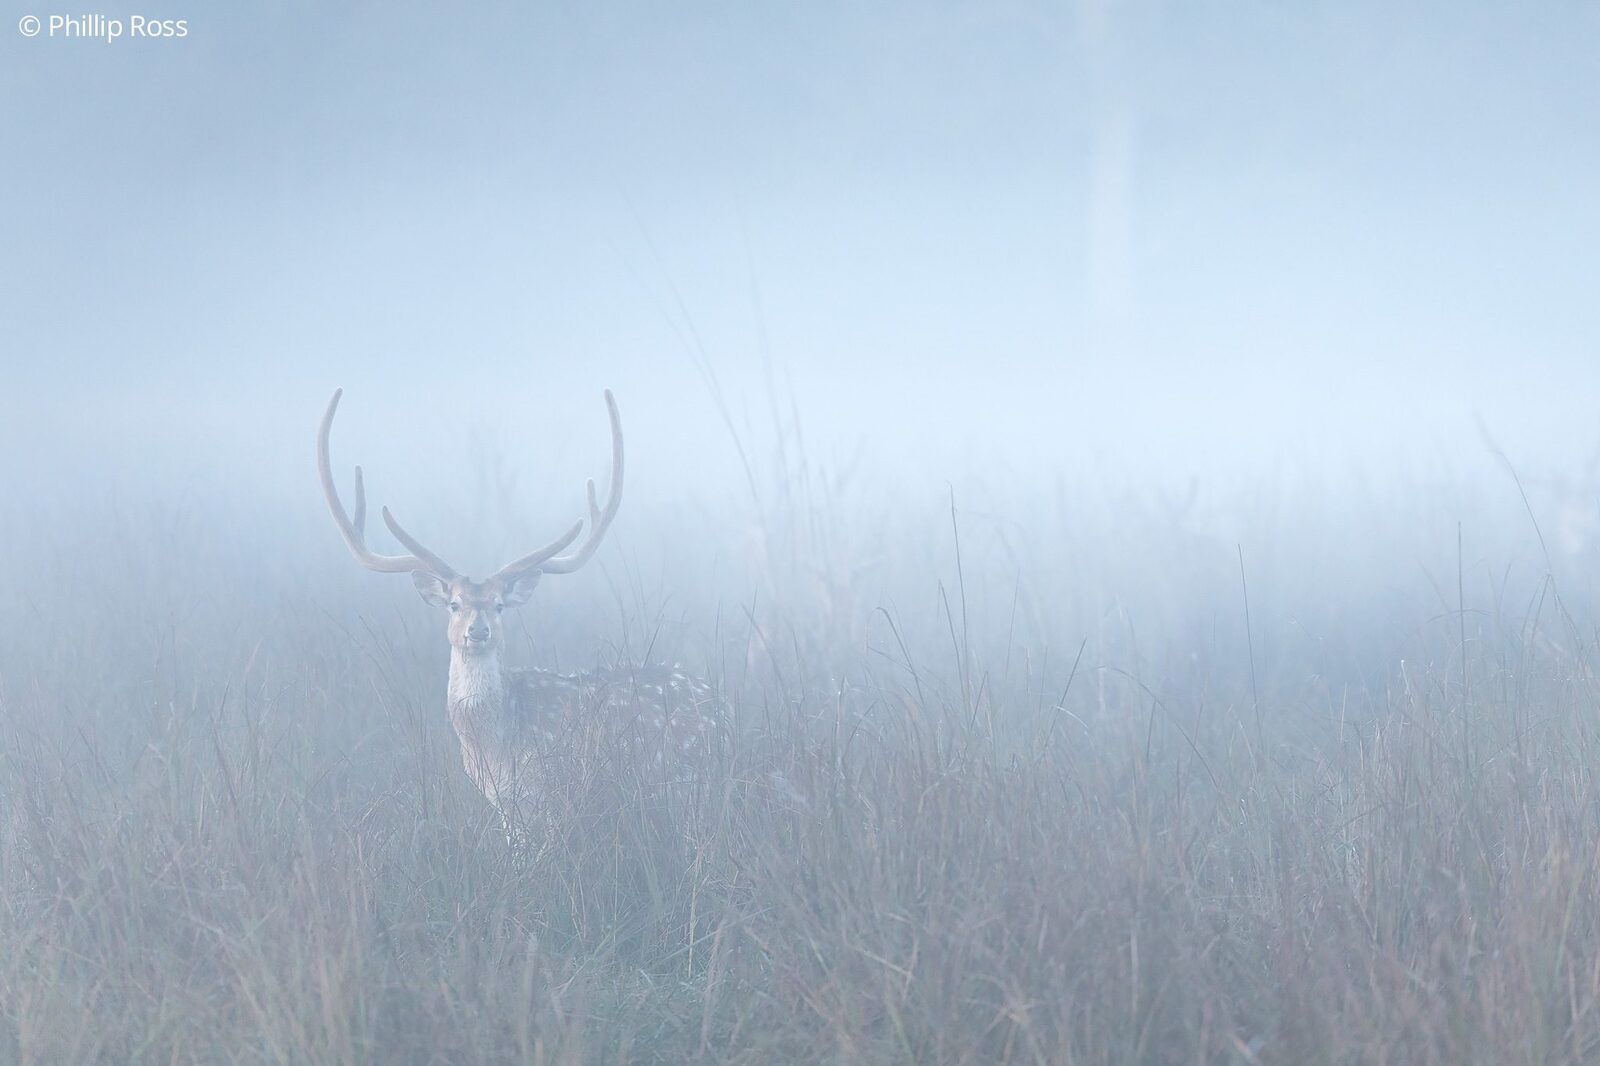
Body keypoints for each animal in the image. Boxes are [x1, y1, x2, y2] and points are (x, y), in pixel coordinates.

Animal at [317, 388, 724, 853]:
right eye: (454, 604)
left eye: (499, 605)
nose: (478, 631)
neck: (493, 749)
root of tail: (722, 708)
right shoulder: (506, 804)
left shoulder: (548, 789)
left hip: (686, 779)